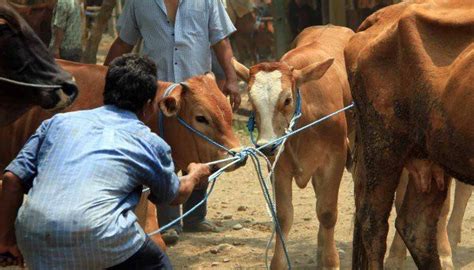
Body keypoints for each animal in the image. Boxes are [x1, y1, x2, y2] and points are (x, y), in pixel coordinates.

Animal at [231, 24, 354, 268]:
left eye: (287, 100)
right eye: (251, 100)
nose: (266, 146)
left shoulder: (335, 158)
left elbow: (327, 212)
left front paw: (330, 261)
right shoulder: (279, 165)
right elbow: (283, 217)